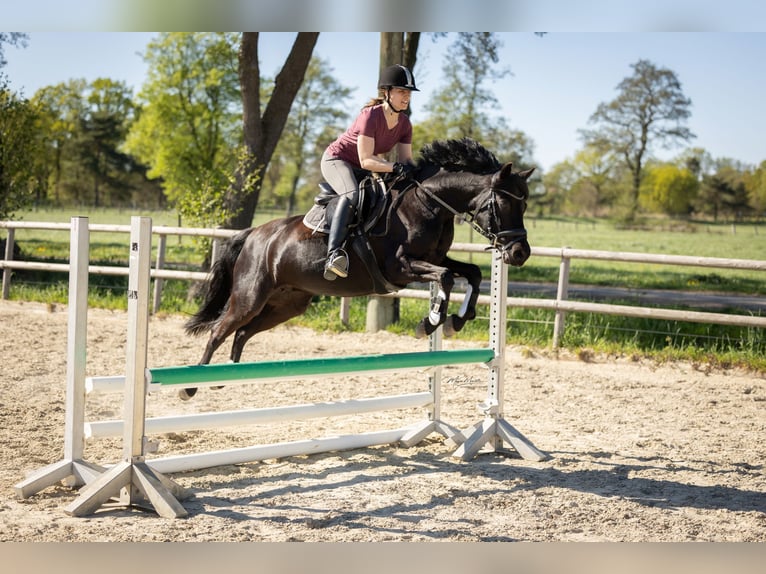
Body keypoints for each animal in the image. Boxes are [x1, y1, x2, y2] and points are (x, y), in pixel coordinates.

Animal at [182, 138, 534, 399]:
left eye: (525, 204)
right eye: (504, 204)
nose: (520, 253)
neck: (428, 204)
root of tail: (254, 234)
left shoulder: (437, 258)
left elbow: (472, 273)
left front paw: (457, 320)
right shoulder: (401, 267)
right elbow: (446, 278)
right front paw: (431, 322)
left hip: (287, 304)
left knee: (242, 332)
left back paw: (225, 377)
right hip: (250, 296)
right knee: (219, 330)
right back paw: (191, 386)